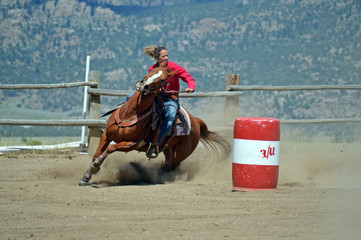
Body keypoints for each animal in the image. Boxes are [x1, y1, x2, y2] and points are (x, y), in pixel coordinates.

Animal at [79, 66, 231, 187]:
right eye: (151, 71)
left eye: (163, 80)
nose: (143, 85)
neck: (130, 114)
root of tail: (196, 121)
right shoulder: (106, 135)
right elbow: (97, 153)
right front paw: (86, 177)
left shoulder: (131, 144)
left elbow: (109, 149)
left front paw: (95, 168)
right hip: (168, 149)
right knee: (168, 164)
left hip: (180, 153)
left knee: (171, 166)